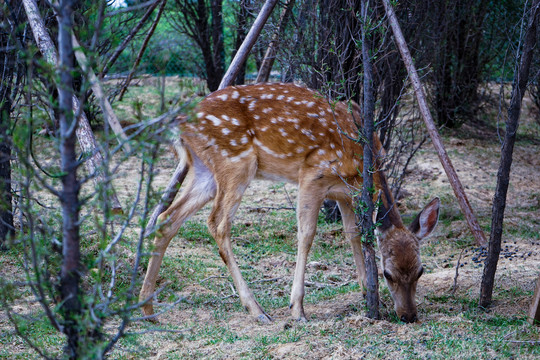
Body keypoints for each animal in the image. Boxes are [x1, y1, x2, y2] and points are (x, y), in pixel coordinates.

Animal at [139, 82, 438, 324]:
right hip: (236, 162)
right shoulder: (314, 174)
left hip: (204, 171)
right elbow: (306, 235)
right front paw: (297, 309)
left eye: (421, 271)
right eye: (388, 274)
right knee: (217, 223)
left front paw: (367, 294)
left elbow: (354, 235)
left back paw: (148, 308)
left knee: (167, 218)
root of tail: (179, 123)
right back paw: (256, 309)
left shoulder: (345, 194)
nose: (408, 316)